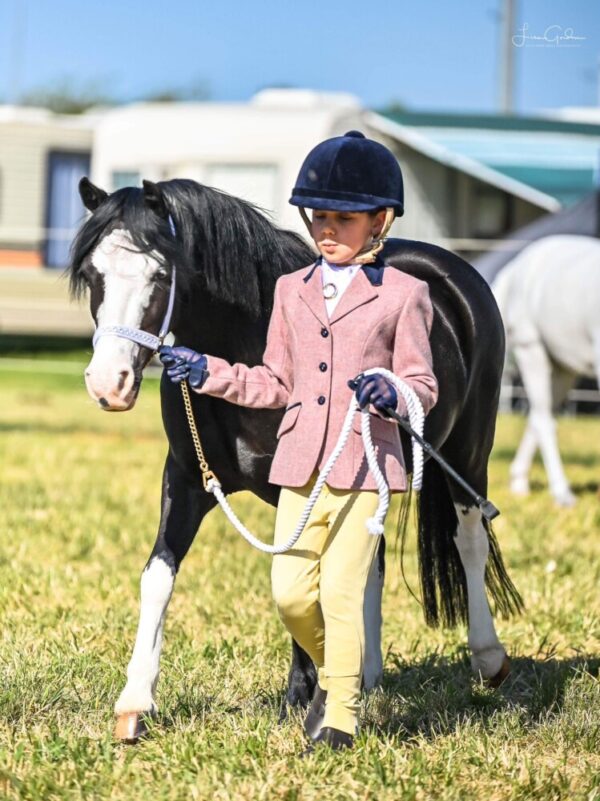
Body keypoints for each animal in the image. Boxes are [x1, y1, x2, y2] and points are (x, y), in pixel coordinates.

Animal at [69, 178, 520, 740]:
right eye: (93, 275)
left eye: (161, 274)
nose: (109, 384)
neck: (250, 344)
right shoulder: (187, 480)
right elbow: (159, 575)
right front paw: (135, 703)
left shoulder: (303, 488)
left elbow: (304, 579)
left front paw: (305, 695)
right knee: (370, 564)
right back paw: (367, 674)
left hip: (467, 451)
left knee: (469, 538)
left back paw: (487, 658)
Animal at [492, 234, 600, 504]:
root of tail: (516, 267)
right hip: (532, 349)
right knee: (543, 420)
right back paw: (561, 493)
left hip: (563, 368)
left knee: (540, 415)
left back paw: (519, 481)